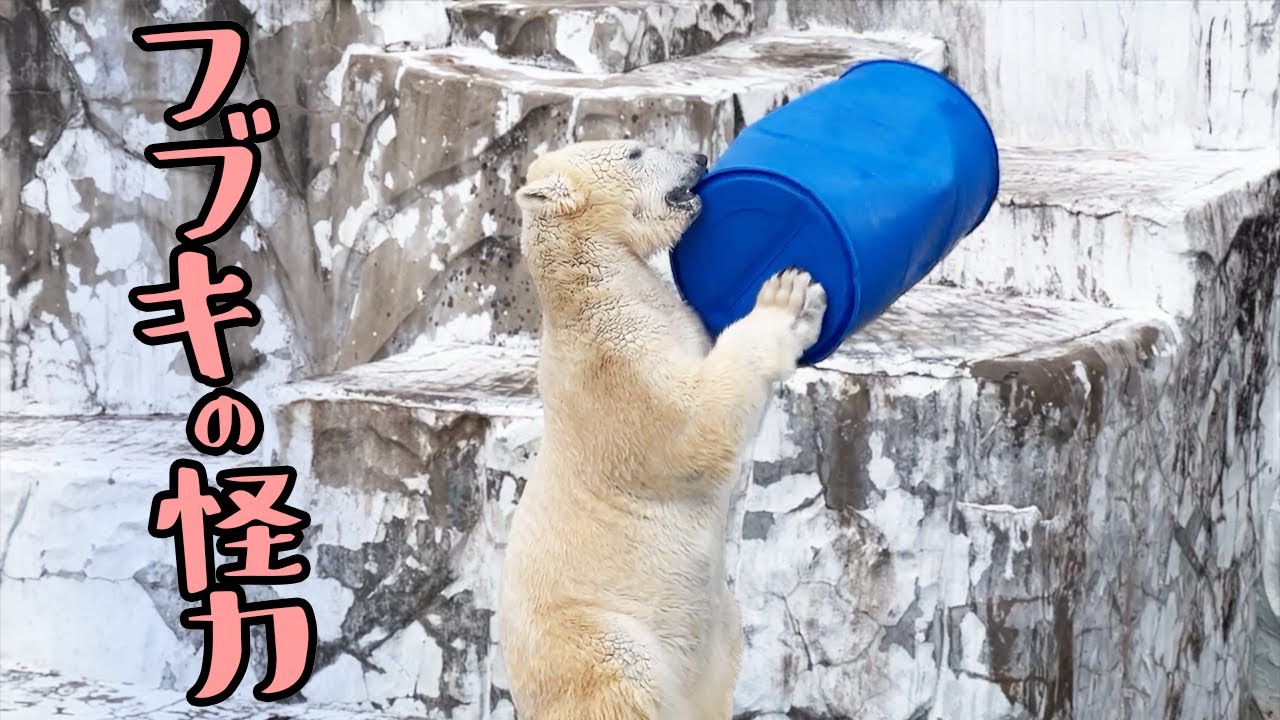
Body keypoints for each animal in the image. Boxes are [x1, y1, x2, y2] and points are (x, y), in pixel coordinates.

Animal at [498, 140, 827, 719]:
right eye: (634, 151)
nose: (699, 157)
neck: (595, 293)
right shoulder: (620, 368)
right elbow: (694, 427)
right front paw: (787, 296)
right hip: (596, 636)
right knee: (625, 680)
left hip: (718, 631)